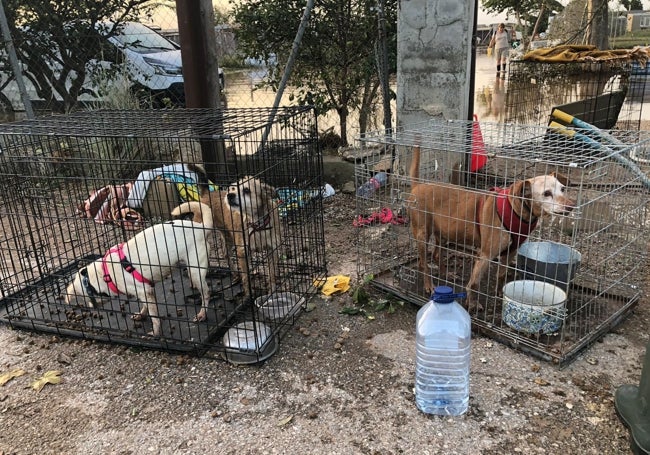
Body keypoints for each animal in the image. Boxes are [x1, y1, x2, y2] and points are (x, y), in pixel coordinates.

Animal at [63, 201, 211, 336]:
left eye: (88, 297)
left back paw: (202, 314)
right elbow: (145, 307)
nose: (91, 306)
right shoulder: (146, 290)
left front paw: (155, 332)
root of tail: (201, 228)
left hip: (196, 272)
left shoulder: (145, 291)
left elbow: (154, 316)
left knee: (206, 293)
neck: (105, 272)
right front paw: (141, 315)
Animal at [408, 146, 576, 310]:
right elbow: (474, 284)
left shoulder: (510, 252)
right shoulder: (485, 255)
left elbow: (501, 275)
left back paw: (446, 274)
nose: (571, 205)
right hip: (423, 234)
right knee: (424, 263)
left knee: (436, 254)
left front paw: (500, 294)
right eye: (546, 193)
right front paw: (472, 304)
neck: (516, 210)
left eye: (562, 189)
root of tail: (418, 186)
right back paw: (429, 286)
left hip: (444, 234)